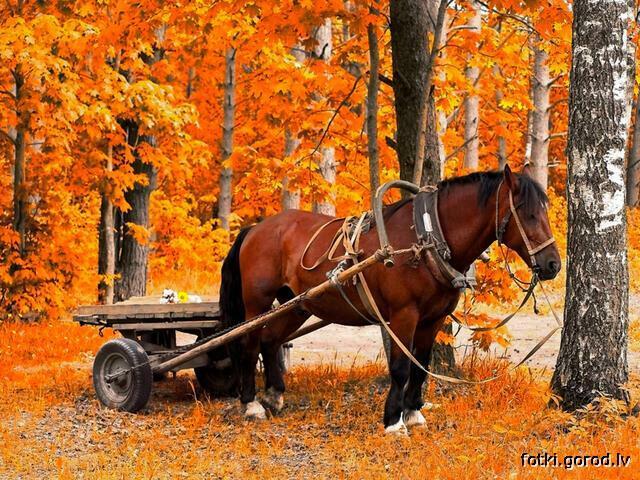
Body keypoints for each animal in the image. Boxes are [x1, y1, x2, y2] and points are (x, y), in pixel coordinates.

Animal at [220, 164, 560, 432]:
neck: (425, 239)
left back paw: (274, 395)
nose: (553, 264)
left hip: (297, 304)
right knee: (249, 343)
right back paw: (251, 404)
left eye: (545, 212)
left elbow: (421, 365)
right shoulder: (403, 315)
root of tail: (256, 229)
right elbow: (400, 367)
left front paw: (413, 414)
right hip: (257, 302)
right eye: (529, 214)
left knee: (271, 340)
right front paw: (394, 421)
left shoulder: (433, 319)